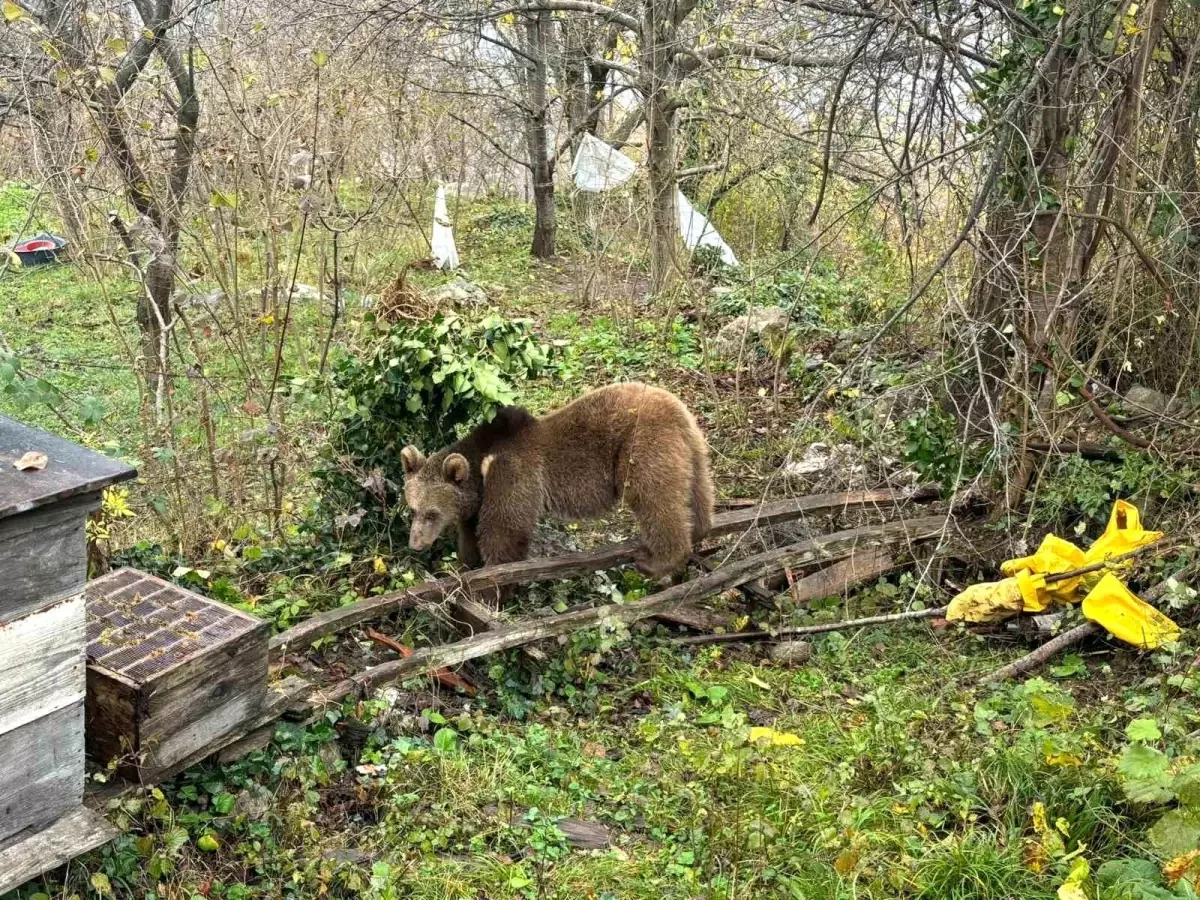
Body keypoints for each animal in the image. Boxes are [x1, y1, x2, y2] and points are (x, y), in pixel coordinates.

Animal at [398, 381, 710, 578]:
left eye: (432, 513)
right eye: (413, 509)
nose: (415, 544)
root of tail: (673, 403)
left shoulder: (513, 472)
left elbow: (504, 529)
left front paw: (495, 576)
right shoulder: (475, 501)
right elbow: (470, 534)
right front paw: (466, 564)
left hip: (641, 443)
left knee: (652, 497)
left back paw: (658, 560)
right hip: (692, 446)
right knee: (698, 491)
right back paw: (700, 529)